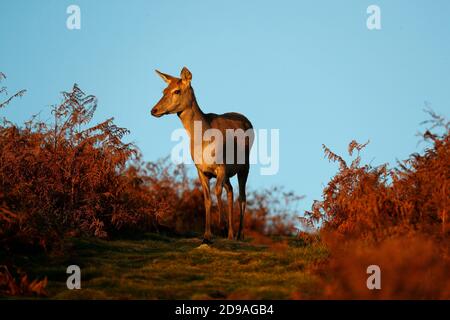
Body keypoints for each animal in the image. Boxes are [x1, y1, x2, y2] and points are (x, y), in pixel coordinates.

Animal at [151, 67, 253, 242]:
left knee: (242, 196)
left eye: (177, 90)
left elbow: (217, 191)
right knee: (231, 190)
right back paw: (231, 234)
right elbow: (206, 199)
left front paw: (221, 225)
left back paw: (239, 234)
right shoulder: (201, 169)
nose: (153, 110)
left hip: (245, 165)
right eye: (164, 90)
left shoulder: (222, 166)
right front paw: (207, 234)